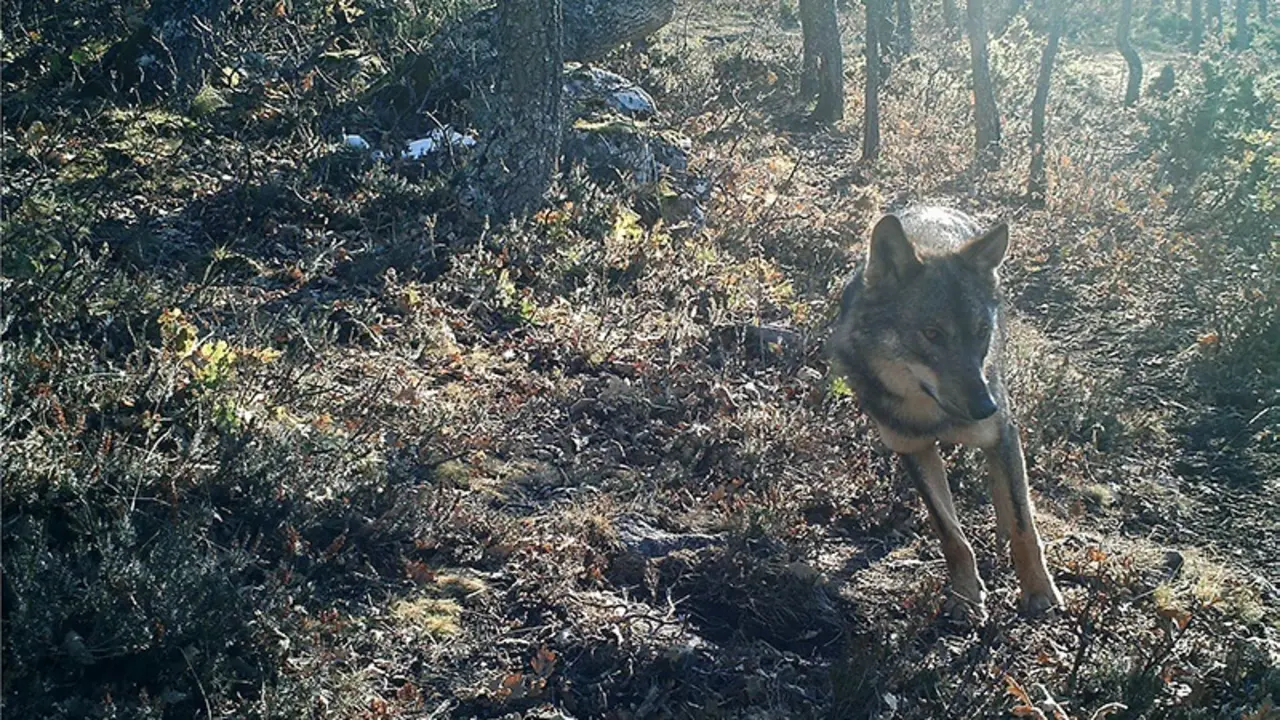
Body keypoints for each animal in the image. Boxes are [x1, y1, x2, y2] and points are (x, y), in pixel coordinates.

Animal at [830, 206, 1063, 622]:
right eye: (932, 333)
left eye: (981, 332)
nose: (985, 407)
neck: (932, 415)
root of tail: (938, 204)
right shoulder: (912, 450)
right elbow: (951, 534)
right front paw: (967, 596)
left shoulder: (1002, 431)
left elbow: (1024, 525)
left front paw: (1038, 592)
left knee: (1008, 491)